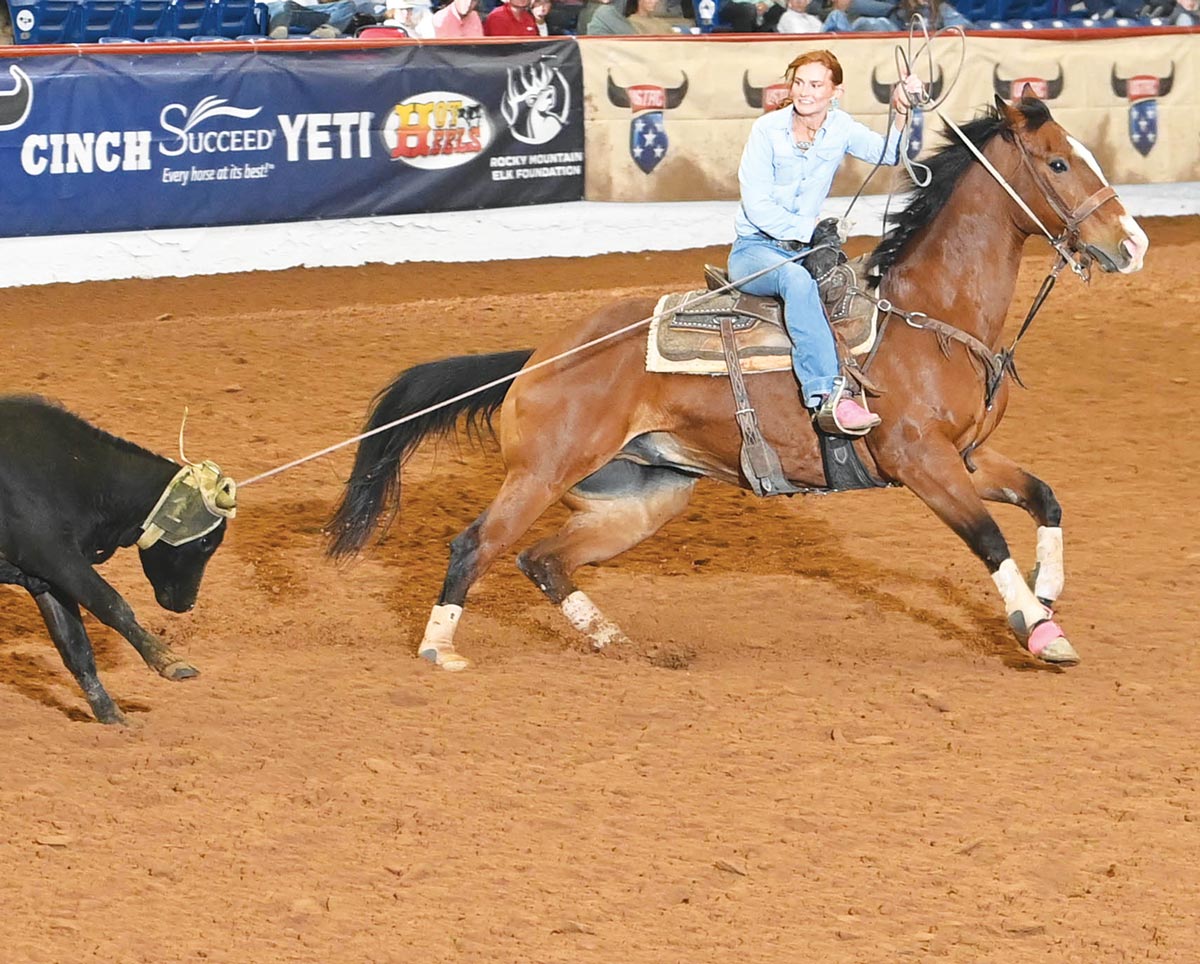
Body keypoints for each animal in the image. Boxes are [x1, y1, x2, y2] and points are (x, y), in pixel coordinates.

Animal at [326, 94, 1142, 677]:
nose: (1131, 243)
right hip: (543, 472)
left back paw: (622, 645)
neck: (928, 317)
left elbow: (1045, 498)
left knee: (542, 560)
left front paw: (1047, 592)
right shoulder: (921, 461)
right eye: (1059, 164)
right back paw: (441, 649)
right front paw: (1040, 632)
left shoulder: (968, 456)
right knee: (477, 544)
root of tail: (540, 357)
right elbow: (987, 536)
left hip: (643, 496)